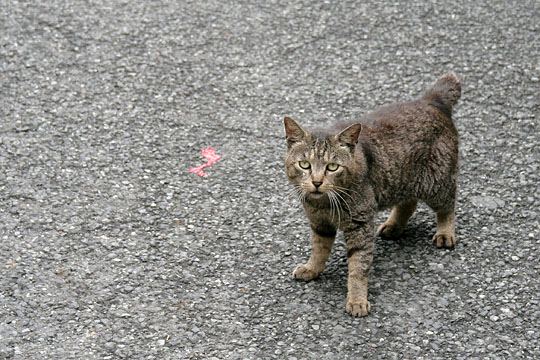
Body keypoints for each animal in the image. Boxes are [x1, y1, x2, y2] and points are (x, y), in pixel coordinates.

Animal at [282, 72, 460, 316]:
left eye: (332, 167)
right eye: (305, 165)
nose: (317, 182)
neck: (324, 204)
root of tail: (431, 100)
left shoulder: (360, 224)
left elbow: (358, 266)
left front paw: (357, 299)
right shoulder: (319, 223)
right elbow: (319, 250)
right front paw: (312, 268)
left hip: (435, 184)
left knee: (448, 204)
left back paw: (445, 232)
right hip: (401, 180)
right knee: (408, 203)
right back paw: (394, 226)